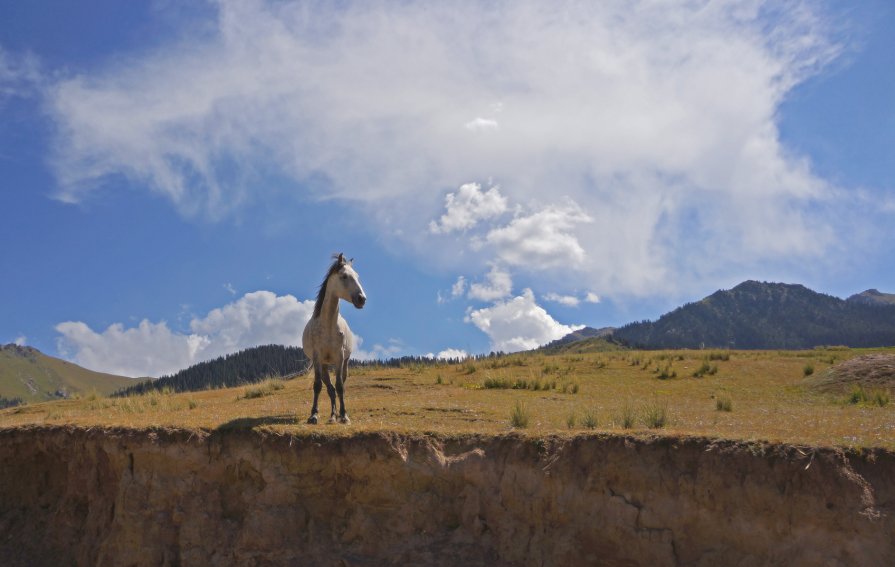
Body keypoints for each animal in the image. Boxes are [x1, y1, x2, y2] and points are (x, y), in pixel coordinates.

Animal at [304, 254, 368, 426]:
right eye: (344, 276)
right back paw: (332, 415)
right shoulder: (318, 357)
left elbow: (340, 387)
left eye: (358, 276)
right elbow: (318, 386)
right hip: (325, 366)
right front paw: (313, 415)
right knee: (329, 389)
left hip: (344, 363)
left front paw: (344, 415)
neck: (328, 325)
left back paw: (337, 415)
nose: (362, 299)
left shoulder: (340, 357)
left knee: (339, 386)